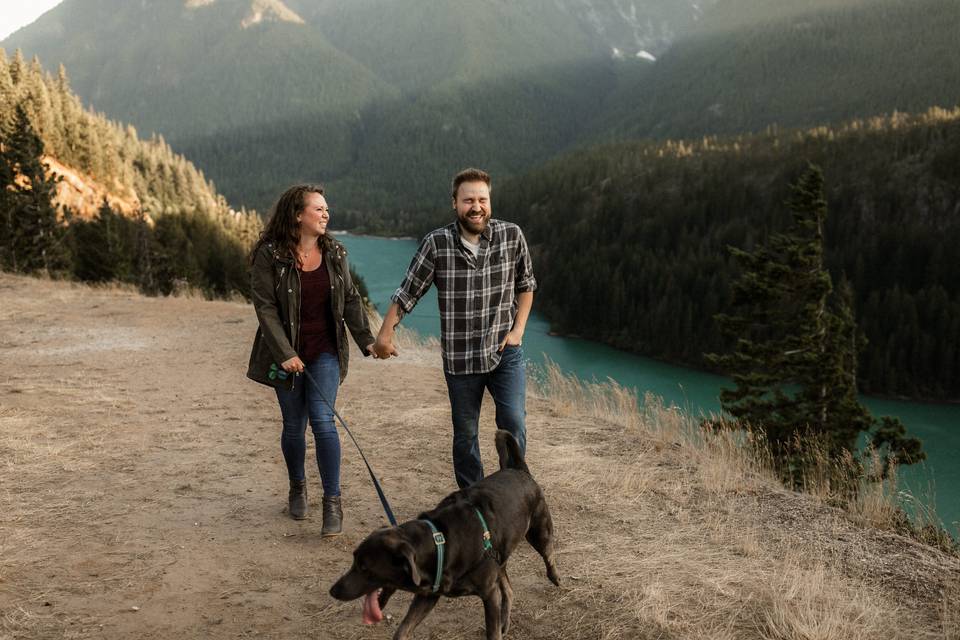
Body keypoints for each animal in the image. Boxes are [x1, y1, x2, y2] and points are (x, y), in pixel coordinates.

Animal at [330, 430, 560, 640]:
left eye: (364, 568)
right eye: (353, 561)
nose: (333, 591)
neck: (441, 540)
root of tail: (517, 469)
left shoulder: (489, 594)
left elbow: (492, 633)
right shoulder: (428, 595)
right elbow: (402, 631)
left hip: (539, 532)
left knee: (548, 553)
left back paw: (555, 577)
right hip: (500, 558)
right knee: (509, 589)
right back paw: (505, 622)